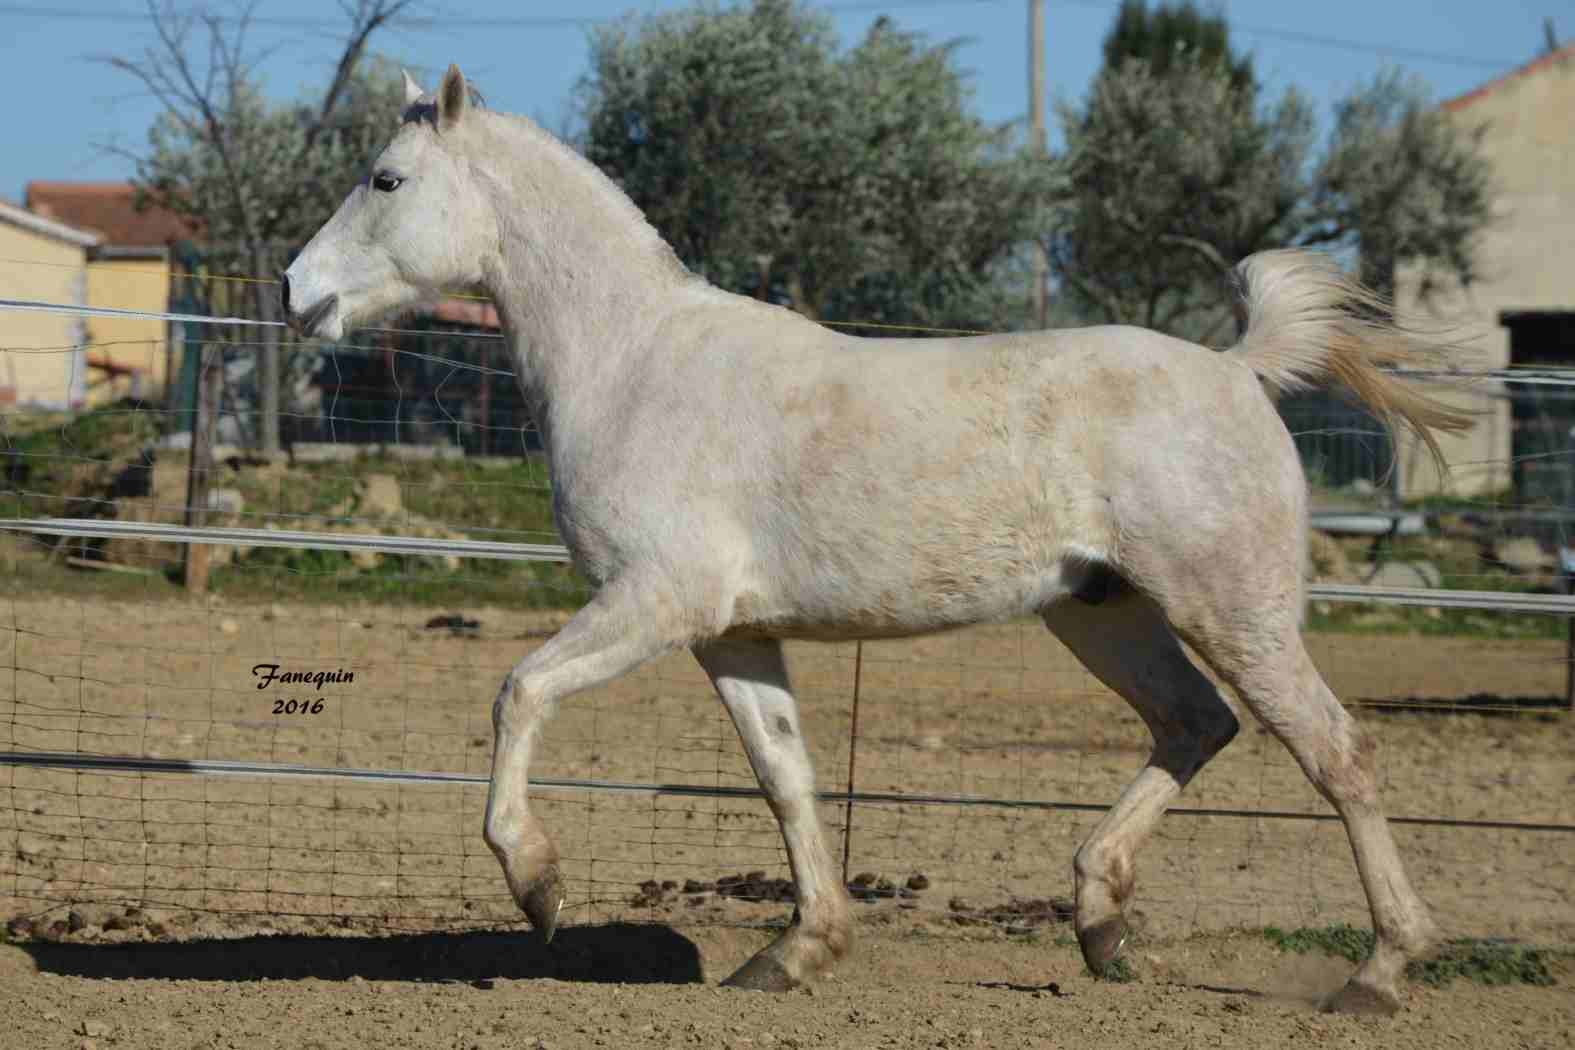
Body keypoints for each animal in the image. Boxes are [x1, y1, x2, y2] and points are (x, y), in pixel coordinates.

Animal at [286, 67, 1474, 1020]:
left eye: (385, 180)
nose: (300, 293)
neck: (634, 364)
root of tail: (1237, 370)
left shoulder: (656, 601)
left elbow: (519, 692)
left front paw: (538, 887)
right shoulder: (730, 635)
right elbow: (785, 777)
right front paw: (795, 952)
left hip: (1231, 609)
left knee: (1335, 753)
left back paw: (1377, 974)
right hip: (1103, 613)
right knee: (1195, 724)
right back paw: (1100, 925)